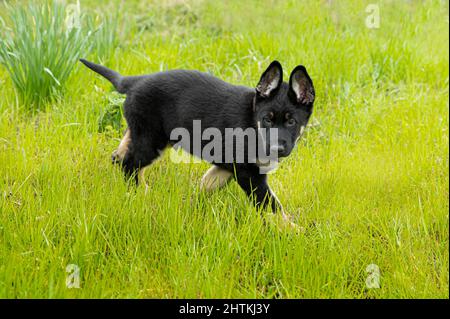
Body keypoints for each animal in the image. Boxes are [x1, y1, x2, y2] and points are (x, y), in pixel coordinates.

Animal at [80, 58, 312, 216]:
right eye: (267, 120)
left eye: (291, 122)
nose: (277, 149)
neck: (252, 122)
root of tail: (135, 81)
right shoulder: (249, 174)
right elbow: (272, 205)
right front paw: (294, 231)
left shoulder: (227, 168)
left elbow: (205, 185)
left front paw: (190, 206)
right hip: (152, 140)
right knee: (129, 165)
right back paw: (142, 193)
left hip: (146, 132)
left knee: (121, 153)